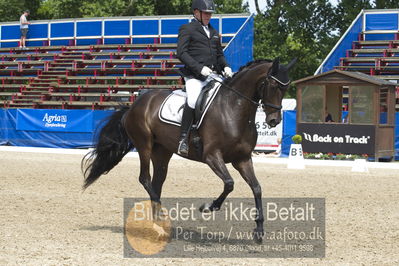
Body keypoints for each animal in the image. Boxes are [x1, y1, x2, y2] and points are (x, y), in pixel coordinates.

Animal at [82, 57, 296, 241]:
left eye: (286, 88)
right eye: (273, 86)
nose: (274, 121)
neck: (233, 110)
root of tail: (134, 105)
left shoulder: (242, 159)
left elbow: (257, 188)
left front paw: (259, 231)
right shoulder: (212, 156)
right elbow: (229, 183)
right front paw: (208, 207)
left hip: (162, 152)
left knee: (157, 183)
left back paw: (158, 225)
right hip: (144, 145)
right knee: (145, 179)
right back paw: (163, 220)